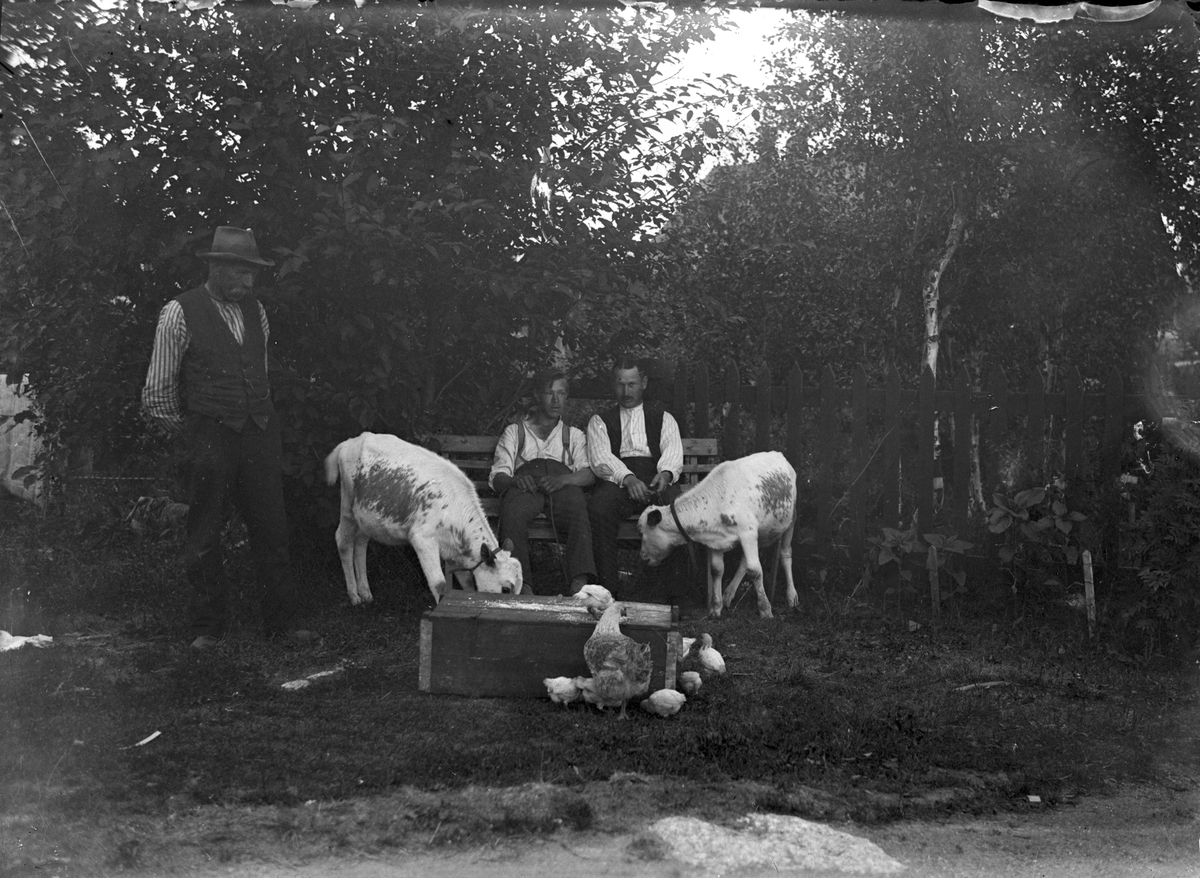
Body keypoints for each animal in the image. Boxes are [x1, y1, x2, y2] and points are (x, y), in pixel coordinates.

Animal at [324, 429, 520, 604]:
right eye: (505, 589)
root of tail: (352, 441)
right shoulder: (422, 539)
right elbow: (440, 584)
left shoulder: (454, 553)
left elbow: (466, 584)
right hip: (348, 507)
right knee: (343, 541)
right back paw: (354, 595)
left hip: (366, 517)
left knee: (361, 543)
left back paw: (365, 592)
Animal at [638, 453, 796, 618]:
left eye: (641, 532)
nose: (642, 556)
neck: (718, 500)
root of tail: (777, 454)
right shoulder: (717, 540)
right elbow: (717, 570)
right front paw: (715, 607)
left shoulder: (748, 533)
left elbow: (755, 571)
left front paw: (765, 610)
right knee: (744, 562)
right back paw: (728, 595)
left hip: (791, 520)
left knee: (785, 555)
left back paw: (791, 596)